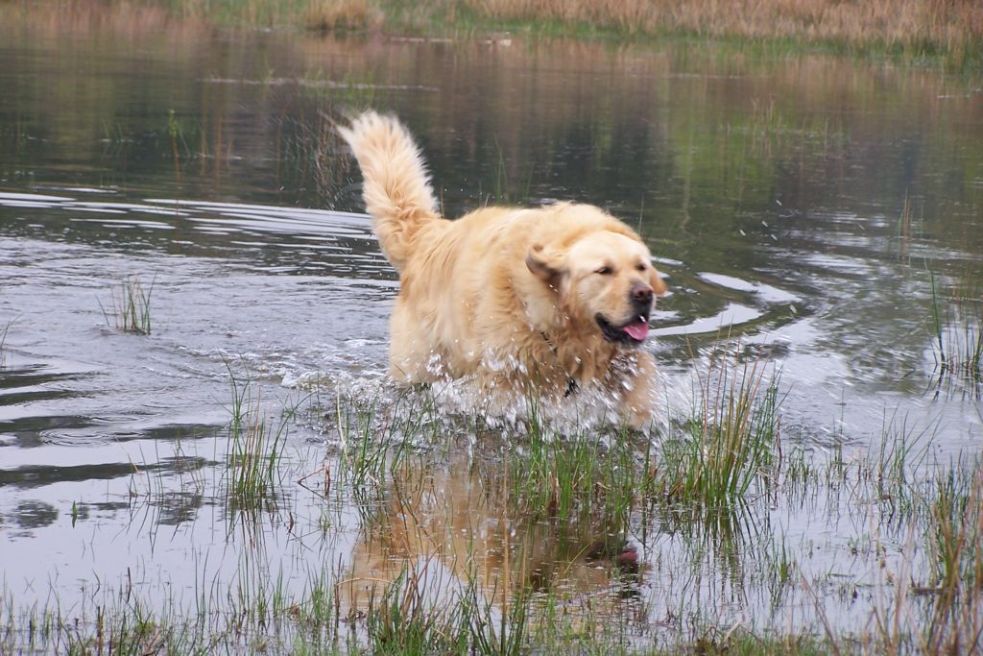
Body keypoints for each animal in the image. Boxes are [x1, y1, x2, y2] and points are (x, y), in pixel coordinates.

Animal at [340, 110, 668, 428]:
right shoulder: (504, 374)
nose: (644, 294)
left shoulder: (622, 364)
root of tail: (429, 234)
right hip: (419, 361)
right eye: (604, 270)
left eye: (641, 267)